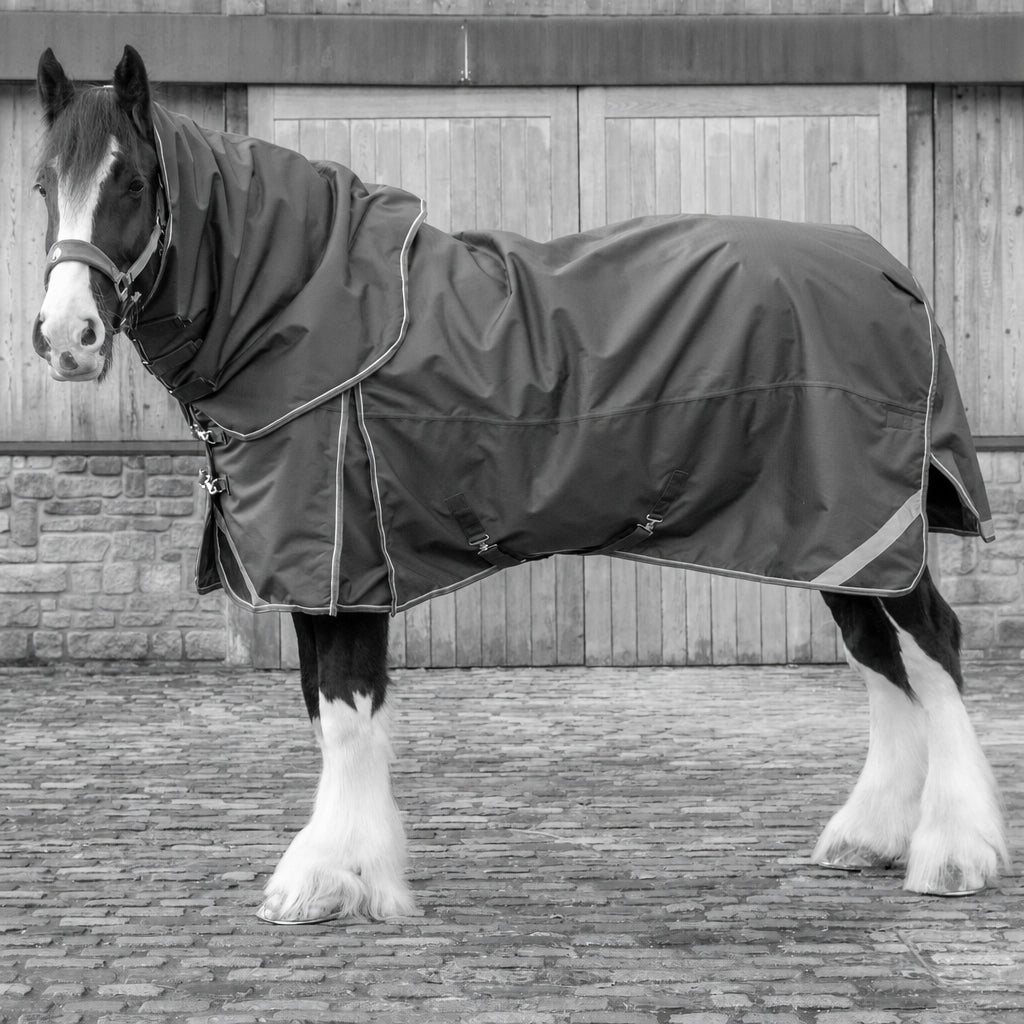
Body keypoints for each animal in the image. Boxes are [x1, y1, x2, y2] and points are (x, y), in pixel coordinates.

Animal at [32, 45, 1008, 925]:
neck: (305, 311)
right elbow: (328, 711)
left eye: (131, 182)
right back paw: (869, 837)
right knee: (881, 660)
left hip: (873, 527)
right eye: (45, 185)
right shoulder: (319, 576)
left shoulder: (344, 567)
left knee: (933, 648)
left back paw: (954, 853)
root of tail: (887, 271)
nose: (66, 337)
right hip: (837, 542)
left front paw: (328, 881)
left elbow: (345, 713)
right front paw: (357, 873)